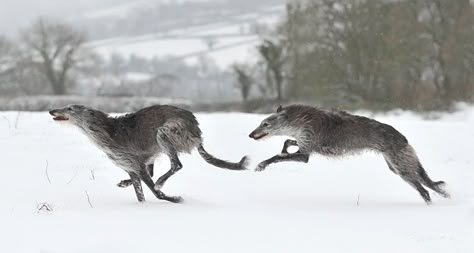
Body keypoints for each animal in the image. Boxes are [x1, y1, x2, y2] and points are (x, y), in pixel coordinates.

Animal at [49, 105, 248, 204]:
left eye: (70, 108)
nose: (51, 110)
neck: (107, 131)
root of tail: (197, 130)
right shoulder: (131, 166)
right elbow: (140, 194)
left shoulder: (136, 164)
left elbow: (155, 192)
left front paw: (174, 199)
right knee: (159, 169)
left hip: (166, 132)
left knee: (176, 165)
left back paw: (161, 181)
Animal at [250, 104, 450, 205]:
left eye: (265, 124)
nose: (250, 135)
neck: (300, 120)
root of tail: (403, 138)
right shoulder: (304, 142)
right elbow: (288, 143)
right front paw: (285, 148)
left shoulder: (305, 152)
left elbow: (277, 157)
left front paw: (261, 165)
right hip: (398, 166)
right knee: (430, 184)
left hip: (402, 167)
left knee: (424, 189)